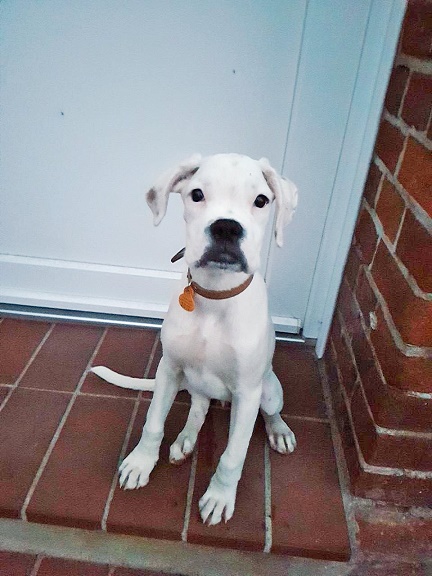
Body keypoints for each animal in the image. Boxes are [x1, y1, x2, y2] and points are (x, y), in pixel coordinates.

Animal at [92, 153, 298, 525]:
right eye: (197, 194)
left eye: (261, 200)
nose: (226, 227)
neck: (215, 296)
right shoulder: (168, 369)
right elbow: (153, 423)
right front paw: (141, 463)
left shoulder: (248, 393)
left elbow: (233, 455)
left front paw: (219, 497)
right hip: (193, 383)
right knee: (199, 409)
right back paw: (185, 440)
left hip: (268, 389)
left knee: (271, 410)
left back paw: (279, 431)